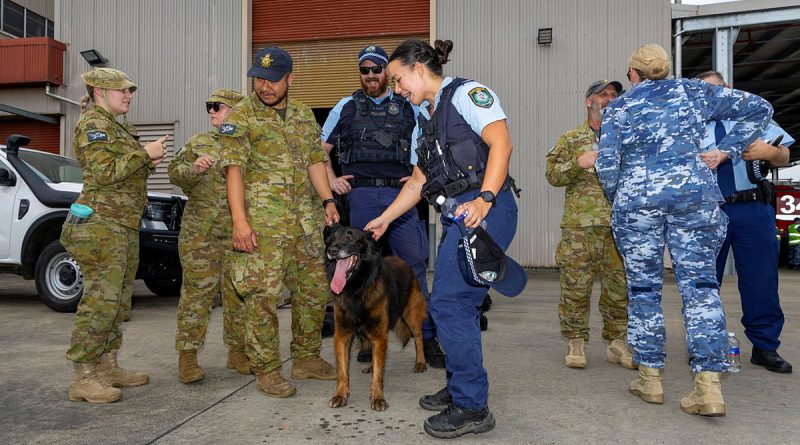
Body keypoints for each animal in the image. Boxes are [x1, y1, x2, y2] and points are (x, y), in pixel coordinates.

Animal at [324, 224, 428, 412]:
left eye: (351, 237)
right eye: (331, 238)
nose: (332, 251)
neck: (357, 288)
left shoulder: (379, 335)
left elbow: (379, 373)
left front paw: (378, 397)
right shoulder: (342, 335)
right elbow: (342, 371)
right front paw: (340, 395)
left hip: (411, 315)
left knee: (418, 338)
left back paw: (420, 362)